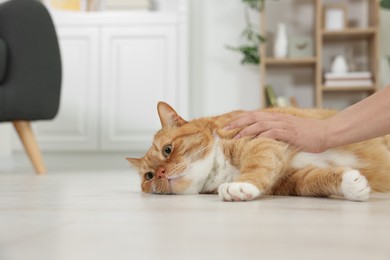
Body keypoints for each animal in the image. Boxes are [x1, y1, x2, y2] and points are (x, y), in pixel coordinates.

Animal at [127, 101, 390, 201]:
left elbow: (257, 162)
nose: (161, 174)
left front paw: (241, 185)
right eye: (148, 176)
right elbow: (313, 180)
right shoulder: (290, 180)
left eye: (167, 150)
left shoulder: (263, 140)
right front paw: (351, 184)